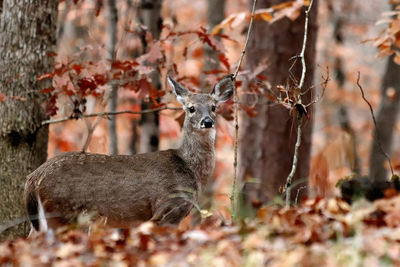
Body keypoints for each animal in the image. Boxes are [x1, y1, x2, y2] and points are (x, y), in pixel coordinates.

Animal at [24, 74, 234, 233]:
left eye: (214, 107)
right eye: (191, 108)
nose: (207, 121)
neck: (190, 168)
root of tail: (33, 179)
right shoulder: (168, 208)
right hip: (62, 213)